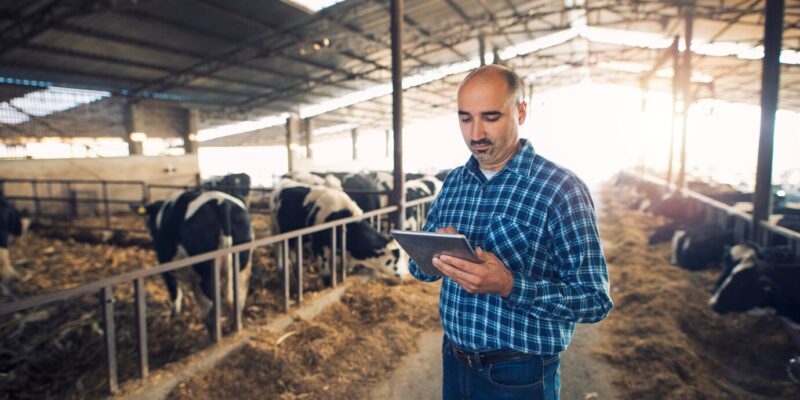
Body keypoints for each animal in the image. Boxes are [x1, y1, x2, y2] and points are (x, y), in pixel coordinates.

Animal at [136, 191, 252, 334]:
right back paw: (235, 328)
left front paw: (175, 316)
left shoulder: (166, 266)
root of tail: (221, 202)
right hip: (241, 268)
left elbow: (175, 292)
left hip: (206, 273)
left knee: (212, 306)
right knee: (238, 298)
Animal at [270, 180, 406, 280]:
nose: (406, 274)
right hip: (277, 229)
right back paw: (282, 270)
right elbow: (326, 275)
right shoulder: (319, 247)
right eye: (396, 258)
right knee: (280, 249)